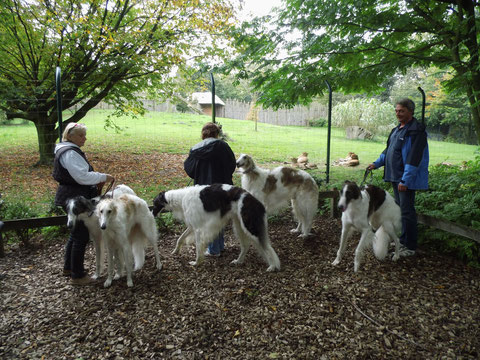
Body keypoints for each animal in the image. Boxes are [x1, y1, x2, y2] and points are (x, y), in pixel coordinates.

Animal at [154, 184, 282, 272]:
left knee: (267, 247)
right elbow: (180, 239)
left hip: (250, 227)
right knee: (246, 246)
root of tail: (257, 202)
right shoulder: (192, 226)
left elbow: (198, 249)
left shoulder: (198, 229)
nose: (152, 212)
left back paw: (272, 266)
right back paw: (239, 261)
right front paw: (175, 251)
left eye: (155, 203)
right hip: (238, 226)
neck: (181, 198)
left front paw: (196, 263)